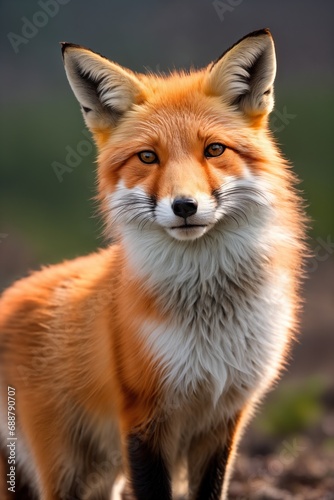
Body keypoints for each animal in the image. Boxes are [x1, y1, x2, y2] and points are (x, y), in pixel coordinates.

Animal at [0, 29, 306, 498]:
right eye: (148, 157)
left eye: (214, 150)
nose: (184, 206)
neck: (209, 321)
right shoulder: (143, 417)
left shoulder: (224, 419)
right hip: (65, 472)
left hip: (101, 475)